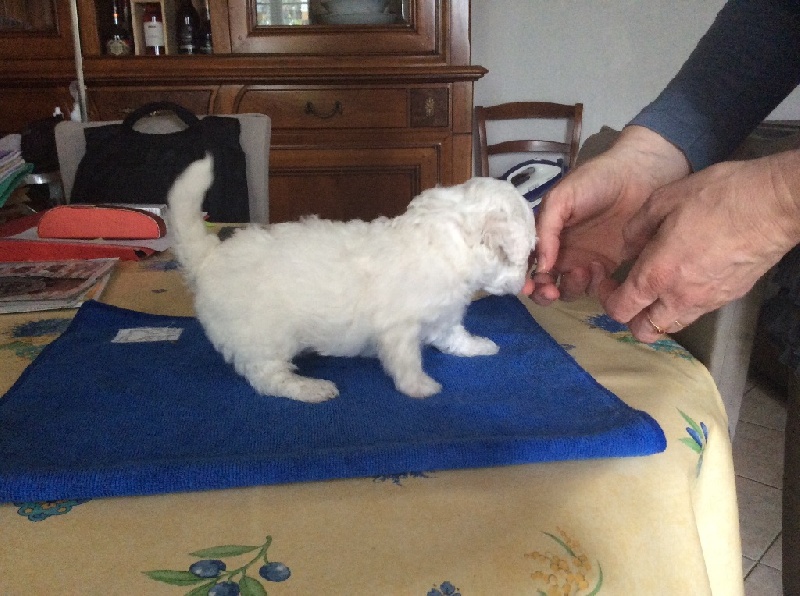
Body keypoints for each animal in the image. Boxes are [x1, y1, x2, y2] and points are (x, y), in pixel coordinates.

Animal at [168, 155, 536, 403]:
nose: (524, 283)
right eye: (527, 254)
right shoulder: (399, 328)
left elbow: (453, 336)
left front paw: (477, 346)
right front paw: (419, 387)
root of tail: (208, 257)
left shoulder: (442, 316)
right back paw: (310, 388)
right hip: (264, 336)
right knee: (267, 377)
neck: (447, 244)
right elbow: (407, 360)